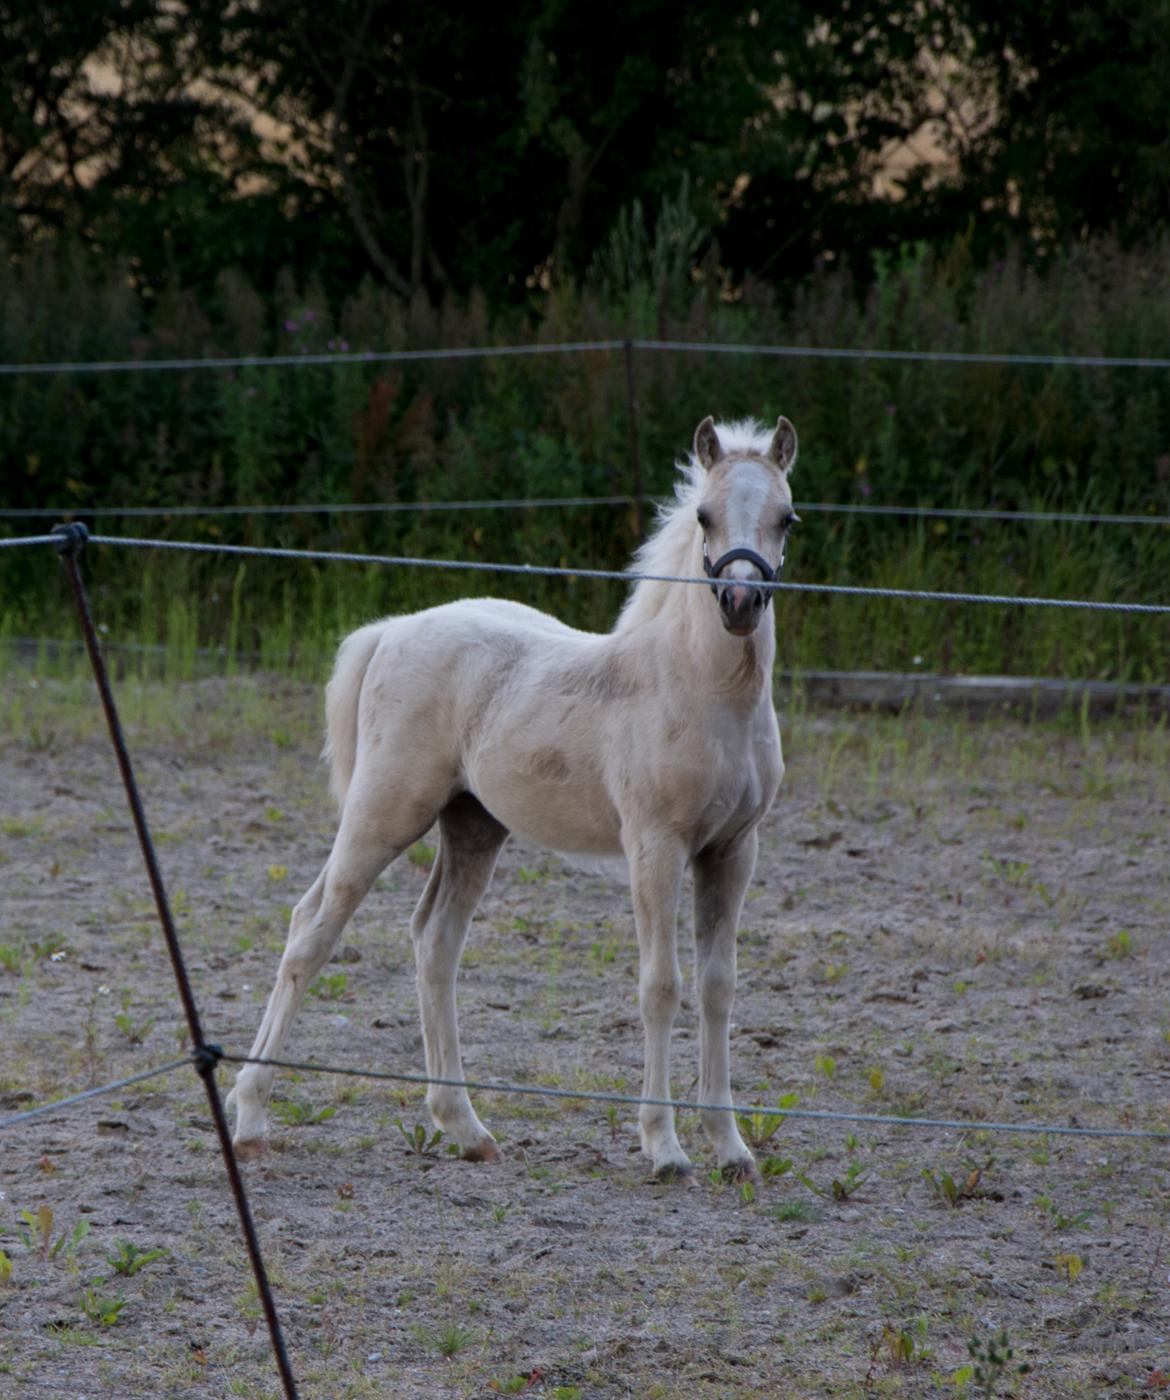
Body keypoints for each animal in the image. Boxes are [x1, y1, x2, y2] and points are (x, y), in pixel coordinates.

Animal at [228, 413, 799, 1181]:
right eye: (705, 516)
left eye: (786, 518)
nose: (740, 604)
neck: (699, 689)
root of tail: (393, 629)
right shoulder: (655, 847)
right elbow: (661, 986)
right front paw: (664, 1147)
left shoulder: (734, 851)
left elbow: (718, 987)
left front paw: (732, 1148)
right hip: (384, 812)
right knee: (310, 930)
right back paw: (251, 1117)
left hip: (473, 825)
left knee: (435, 942)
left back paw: (466, 1127)